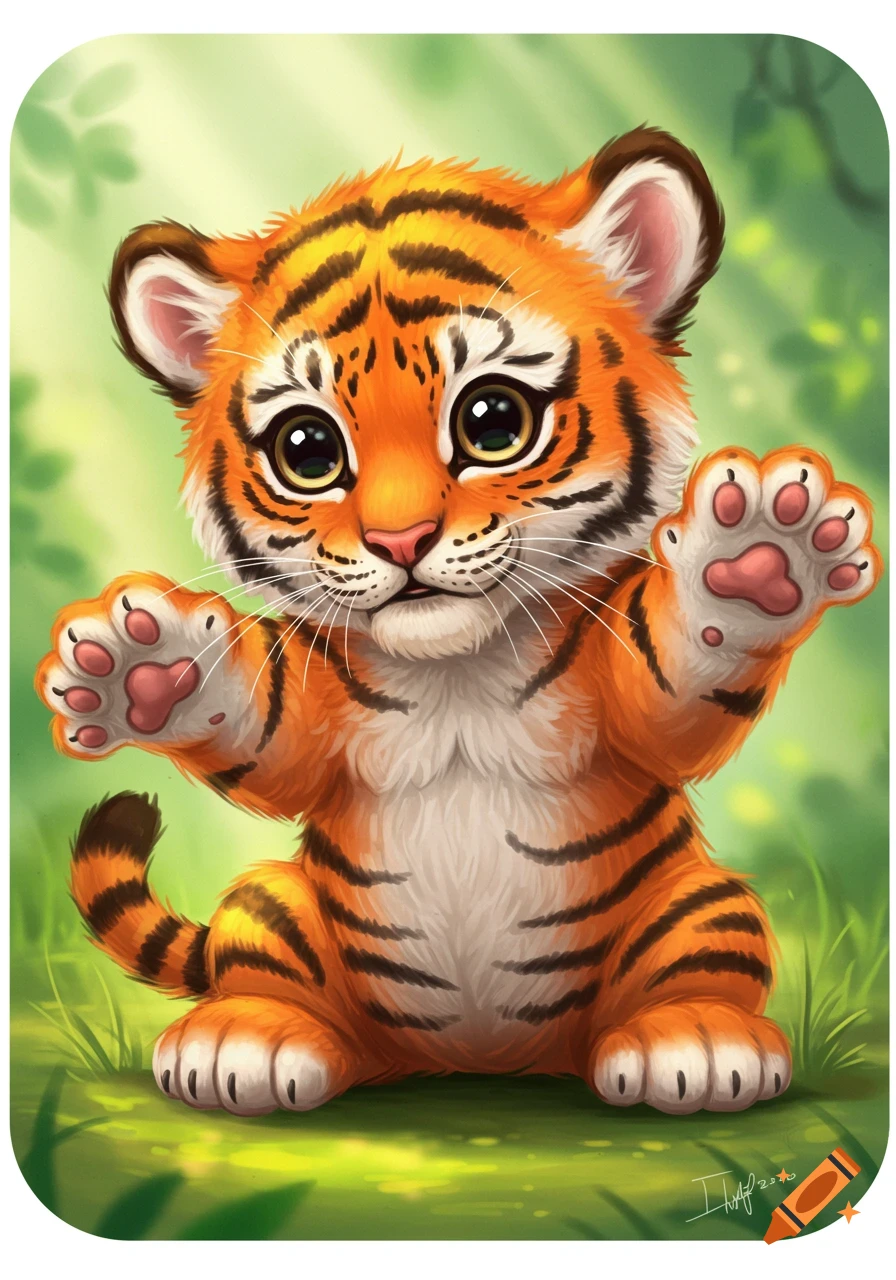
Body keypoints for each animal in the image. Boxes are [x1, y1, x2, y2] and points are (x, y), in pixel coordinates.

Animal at [36, 127, 880, 1116]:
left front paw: (760, 556)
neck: (455, 668)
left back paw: (700, 1043)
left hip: (702, 902)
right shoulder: (312, 710)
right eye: (307, 450)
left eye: (492, 419)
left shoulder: (625, 676)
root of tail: (490, 1061)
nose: (400, 539)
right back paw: (246, 1041)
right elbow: (261, 726)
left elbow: (677, 688)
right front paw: (140, 665)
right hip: (273, 904)